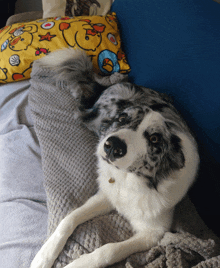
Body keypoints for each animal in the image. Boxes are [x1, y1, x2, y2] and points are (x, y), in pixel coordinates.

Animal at [29, 48, 199, 268]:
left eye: (154, 139)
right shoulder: (106, 195)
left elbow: (109, 250)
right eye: (122, 118)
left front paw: (78, 263)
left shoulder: (154, 233)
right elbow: (69, 219)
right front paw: (44, 255)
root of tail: (109, 85)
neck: (129, 181)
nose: (112, 147)